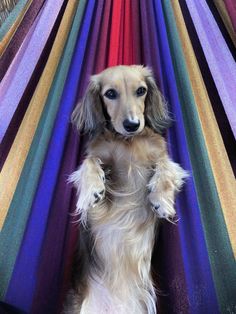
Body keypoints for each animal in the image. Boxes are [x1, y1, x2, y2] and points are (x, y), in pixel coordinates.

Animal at [65, 65, 188, 312]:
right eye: (110, 94)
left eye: (141, 90)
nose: (132, 125)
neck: (127, 142)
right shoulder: (97, 159)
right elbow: (89, 163)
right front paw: (92, 189)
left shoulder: (163, 158)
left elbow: (165, 168)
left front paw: (161, 200)